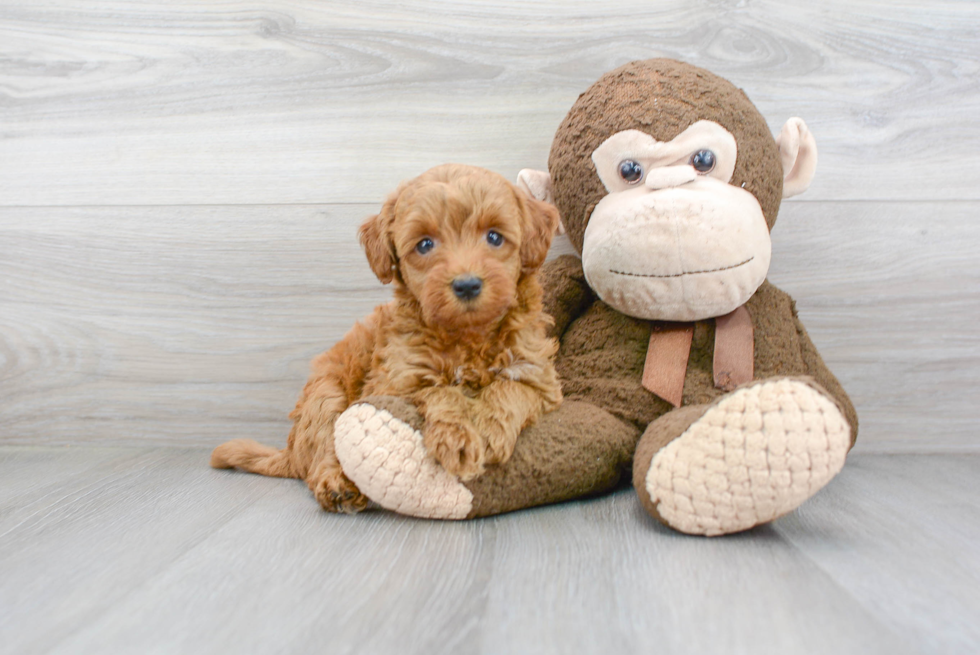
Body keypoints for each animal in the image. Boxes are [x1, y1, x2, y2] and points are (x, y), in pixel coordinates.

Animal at [211, 163, 564, 512]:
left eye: (494, 236)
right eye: (425, 244)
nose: (467, 285)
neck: (468, 336)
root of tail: (292, 449)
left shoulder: (540, 376)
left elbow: (512, 388)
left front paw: (490, 429)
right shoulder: (396, 380)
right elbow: (439, 391)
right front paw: (457, 438)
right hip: (325, 397)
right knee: (322, 451)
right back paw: (336, 485)